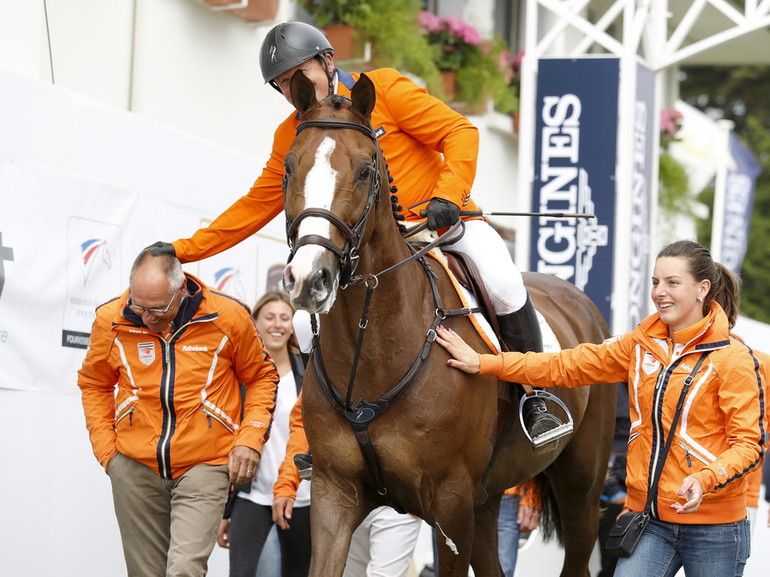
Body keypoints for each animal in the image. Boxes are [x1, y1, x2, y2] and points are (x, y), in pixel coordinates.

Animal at [280, 72, 612, 576]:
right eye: (289, 166)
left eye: (365, 170)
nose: (308, 278)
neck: (373, 351)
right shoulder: (335, 493)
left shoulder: (450, 503)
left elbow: (457, 130)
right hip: (488, 497)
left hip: (581, 485)